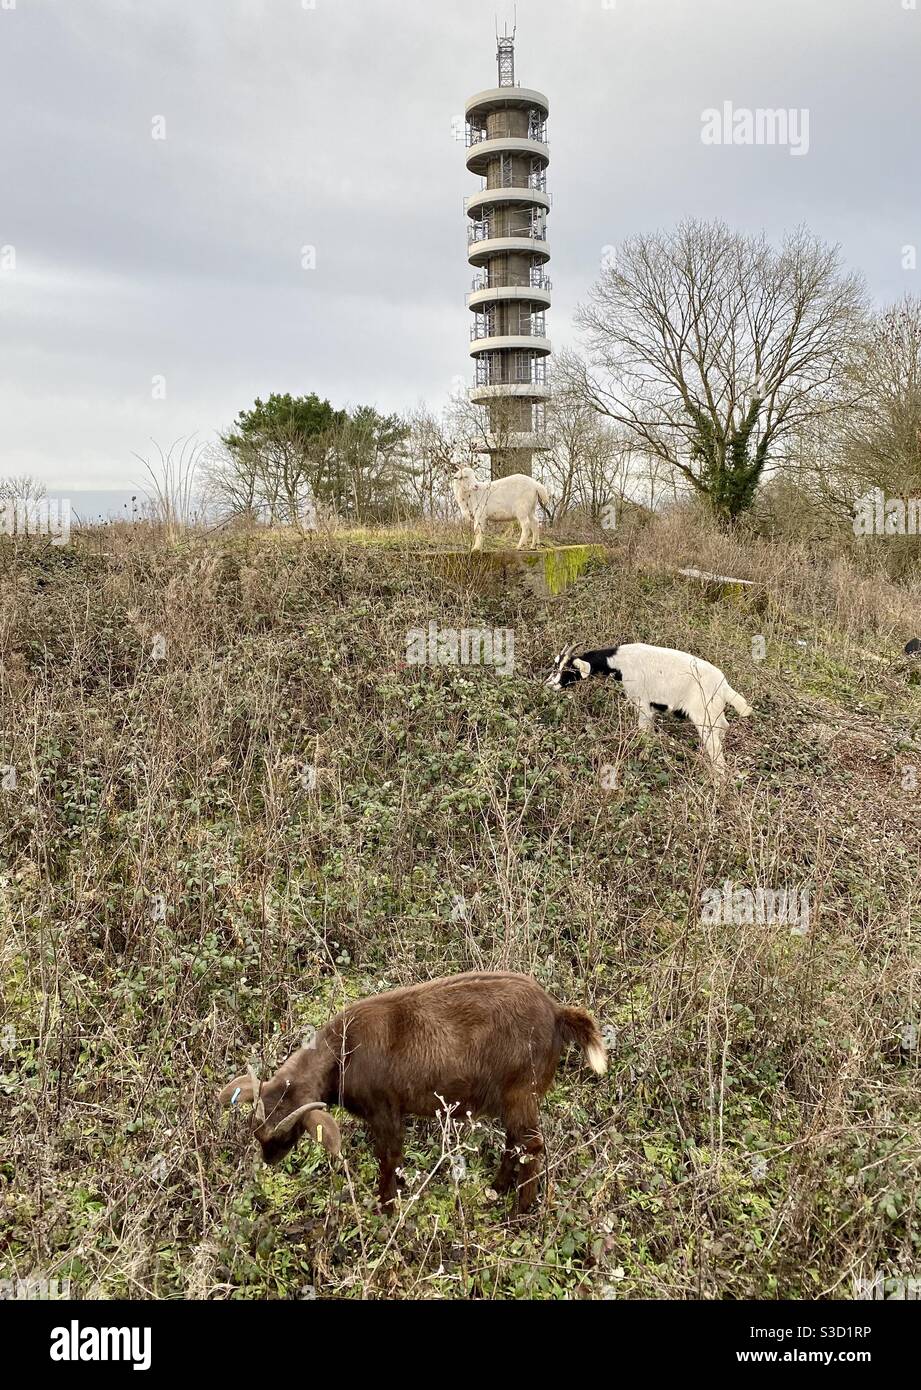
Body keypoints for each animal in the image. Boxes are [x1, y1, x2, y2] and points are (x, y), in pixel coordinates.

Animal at [219, 973, 608, 1212]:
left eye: (287, 1132)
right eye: (257, 1130)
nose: (268, 1158)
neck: (344, 1053)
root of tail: (557, 1012)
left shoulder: (385, 1108)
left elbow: (389, 1156)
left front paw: (387, 1206)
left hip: (521, 1092)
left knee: (532, 1145)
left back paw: (520, 1211)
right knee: (515, 1141)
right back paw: (496, 1189)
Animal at [544, 642, 755, 778]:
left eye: (569, 670)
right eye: (555, 664)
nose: (549, 685)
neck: (619, 662)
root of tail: (724, 686)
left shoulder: (642, 703)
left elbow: (643, 731)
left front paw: (643, 759)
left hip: (704, 715)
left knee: (715, 747)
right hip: (714, 712)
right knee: (724, 727)